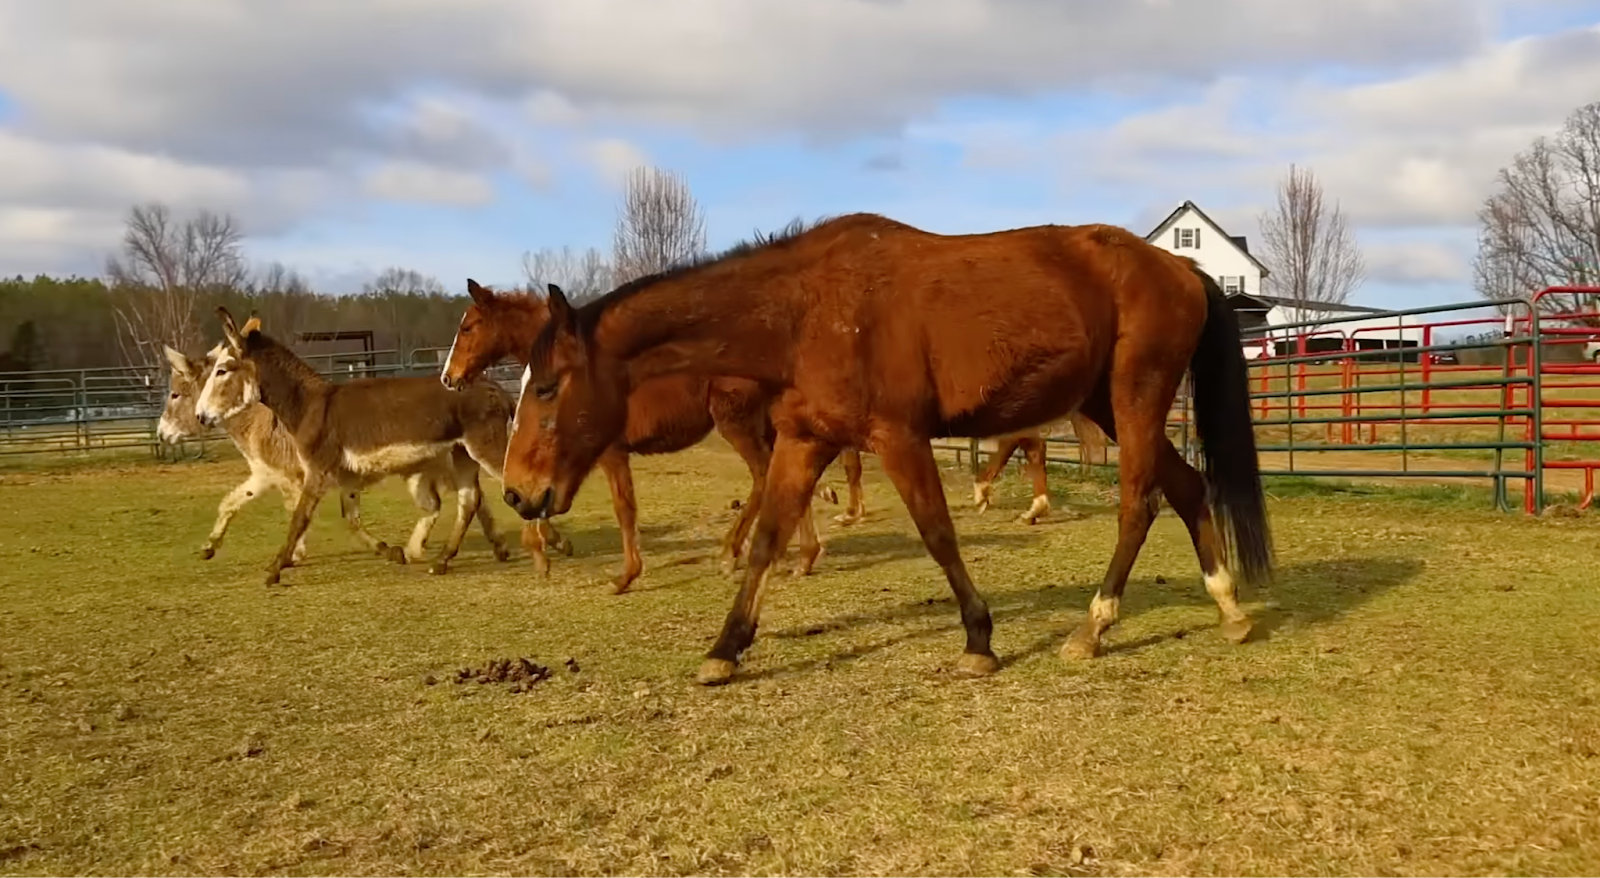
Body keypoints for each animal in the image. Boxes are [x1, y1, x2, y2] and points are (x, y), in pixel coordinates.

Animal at [196, 310, 531, 585]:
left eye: (222, 370)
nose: (200, 416)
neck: (310, 406)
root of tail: (495, 387)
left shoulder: (317, 471)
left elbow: (299, 519)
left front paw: (275, 570)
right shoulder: (345, 476)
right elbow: (350, 518)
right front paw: (391, 551)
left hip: (482, 447)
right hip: (462, 453)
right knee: (469, 499)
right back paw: (442, 561)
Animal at [439, 280, 831, 592]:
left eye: (469, 327)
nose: (448, 377)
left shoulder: (610, 453)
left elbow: (622, 508)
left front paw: (623, 576)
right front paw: (549, 550)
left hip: (736, 424)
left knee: (765, 477)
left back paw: (734, 554)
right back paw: (800, 556)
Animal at [501, 214, 1273, 685]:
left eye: (548, 387)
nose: (517, 492)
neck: (806, 312)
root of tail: (1179, 267)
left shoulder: (897, 437)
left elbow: (937, 533)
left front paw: (978, 641)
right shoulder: (805, 440)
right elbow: (768, 539)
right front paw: (726, 649)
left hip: (1136, 397)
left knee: (1138, 503)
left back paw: (1093, 627)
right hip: (1107, 406)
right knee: (1187, 487)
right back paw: (1230, 609)